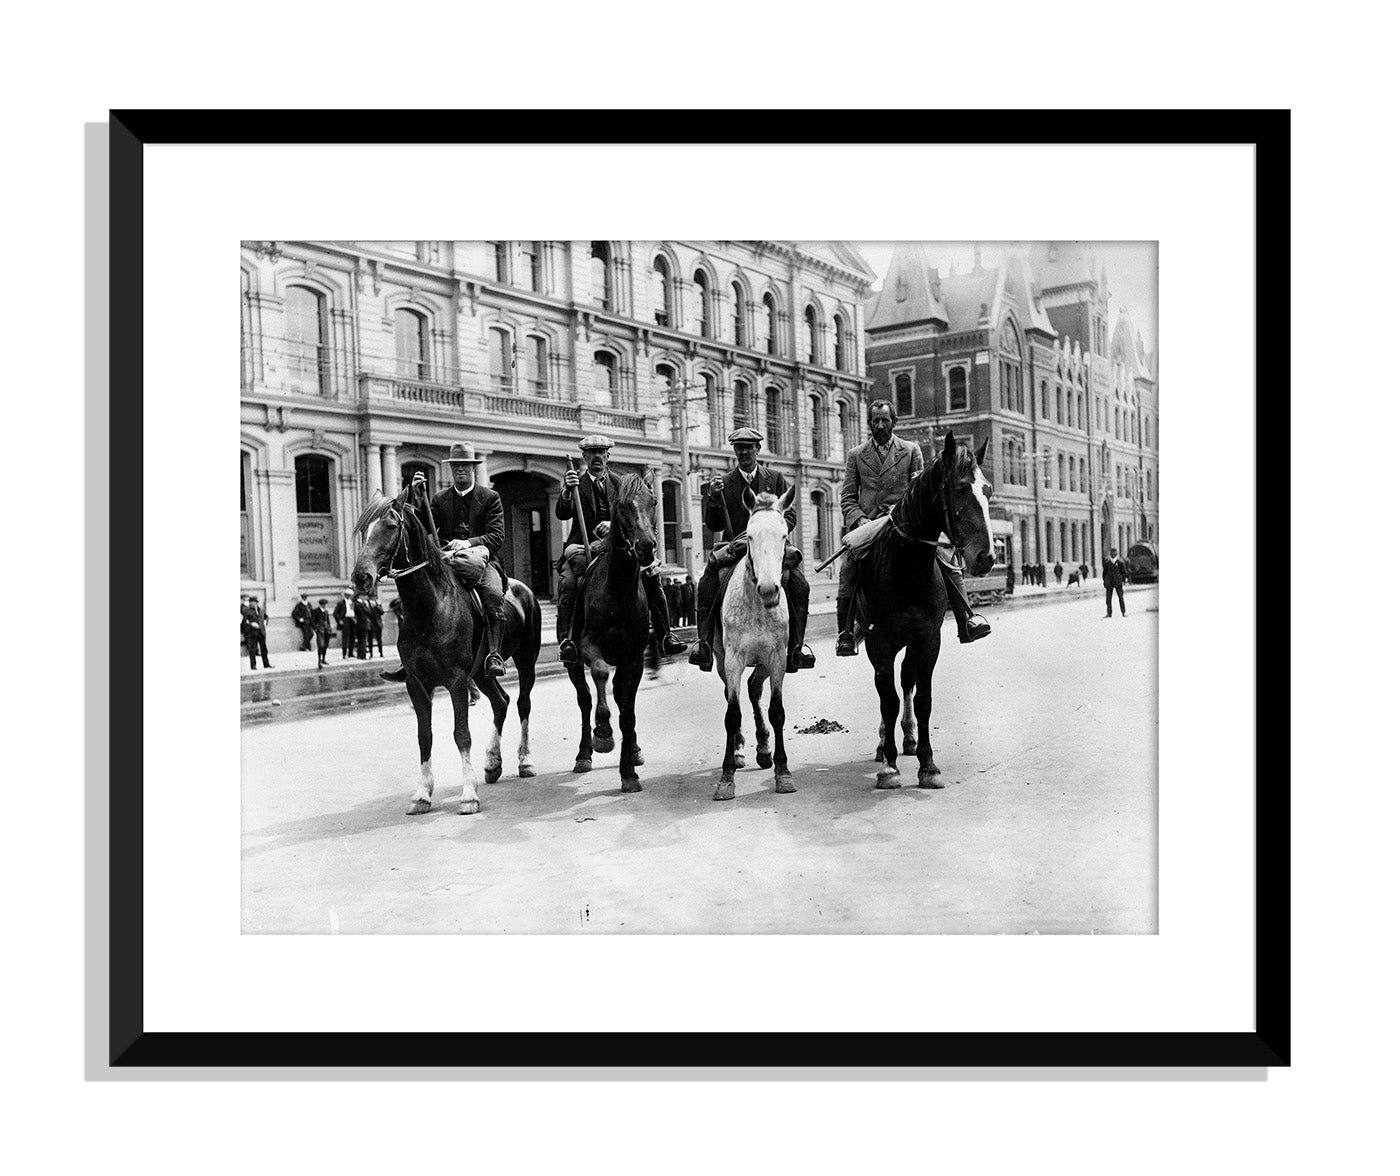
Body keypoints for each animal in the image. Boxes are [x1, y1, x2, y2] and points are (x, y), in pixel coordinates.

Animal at [350, 492, 540, 812]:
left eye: (390, 527)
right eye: (363, 530)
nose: (360, 577)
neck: (431, 608)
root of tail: (524, 588)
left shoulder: (456, 682)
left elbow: (461, 734)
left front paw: (469, 794)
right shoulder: (417, 684)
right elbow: (424, 736)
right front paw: (423, 794)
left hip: (526, 659)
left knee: (522, 703)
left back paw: (524, 760)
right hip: (483, 673)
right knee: (500, 702)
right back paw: (493, 763)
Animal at [568, 473, 655, 795]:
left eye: (654, 502)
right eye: (621, 506)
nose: (646, 547)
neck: (617, 590)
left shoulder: (635, 657)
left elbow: (628, 709)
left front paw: (628, 771)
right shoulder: (587, 645)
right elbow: (600, 673)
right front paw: (603, 734)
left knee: (620, 697)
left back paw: (634, 750)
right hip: (572, 662)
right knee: (585, 699)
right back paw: (584, 753)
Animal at [711, 484, 800, 800]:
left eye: (784, 535)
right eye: (749, 535)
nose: (769, 589)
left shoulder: (777, 658)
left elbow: (777, 712)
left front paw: (783, 772)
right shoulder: (732, 660)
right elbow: (732, 714)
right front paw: (726, 777)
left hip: (763, 662)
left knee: (753, 689)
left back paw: (763, 748)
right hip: (722, 662)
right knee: (734, 694)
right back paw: (738, 750)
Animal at [851, 431, 996, 789]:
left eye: (987, 491)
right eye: (959, 489)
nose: (986, 557)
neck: (907, 567)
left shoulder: (928, 640)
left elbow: (923, 699)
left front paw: (928, 765)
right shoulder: (880, 644)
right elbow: (887, 700)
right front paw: (888, 767)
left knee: (906, 681)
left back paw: (908, 738)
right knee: (887, 691)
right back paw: (884, 744)